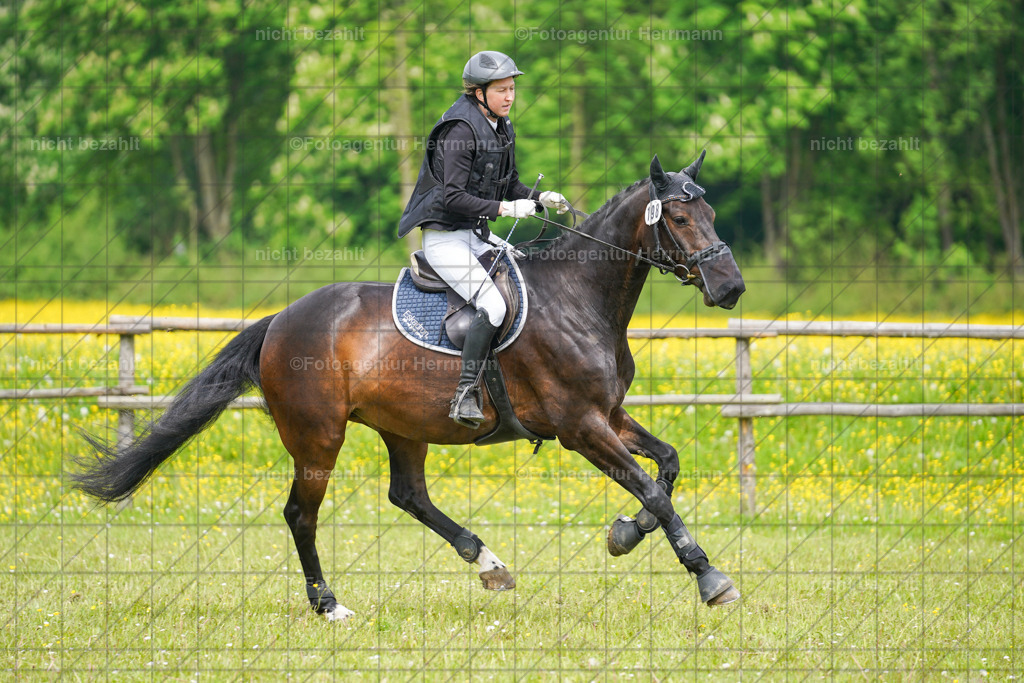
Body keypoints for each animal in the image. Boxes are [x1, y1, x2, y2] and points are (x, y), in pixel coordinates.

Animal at [73, 153, 746, 622]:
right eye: (678, 217)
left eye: (712, 214)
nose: (732, 288)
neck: (579, 299)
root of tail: (280, 321)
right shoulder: (578, 426)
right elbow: (654, 489)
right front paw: (709, 578)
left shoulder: (609, 414)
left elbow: (667, 464)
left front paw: (626, 533)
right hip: (318, 438)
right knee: (301, 515)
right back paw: (330, 604)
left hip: (404, 427)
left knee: (409, 495)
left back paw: (489, 565)